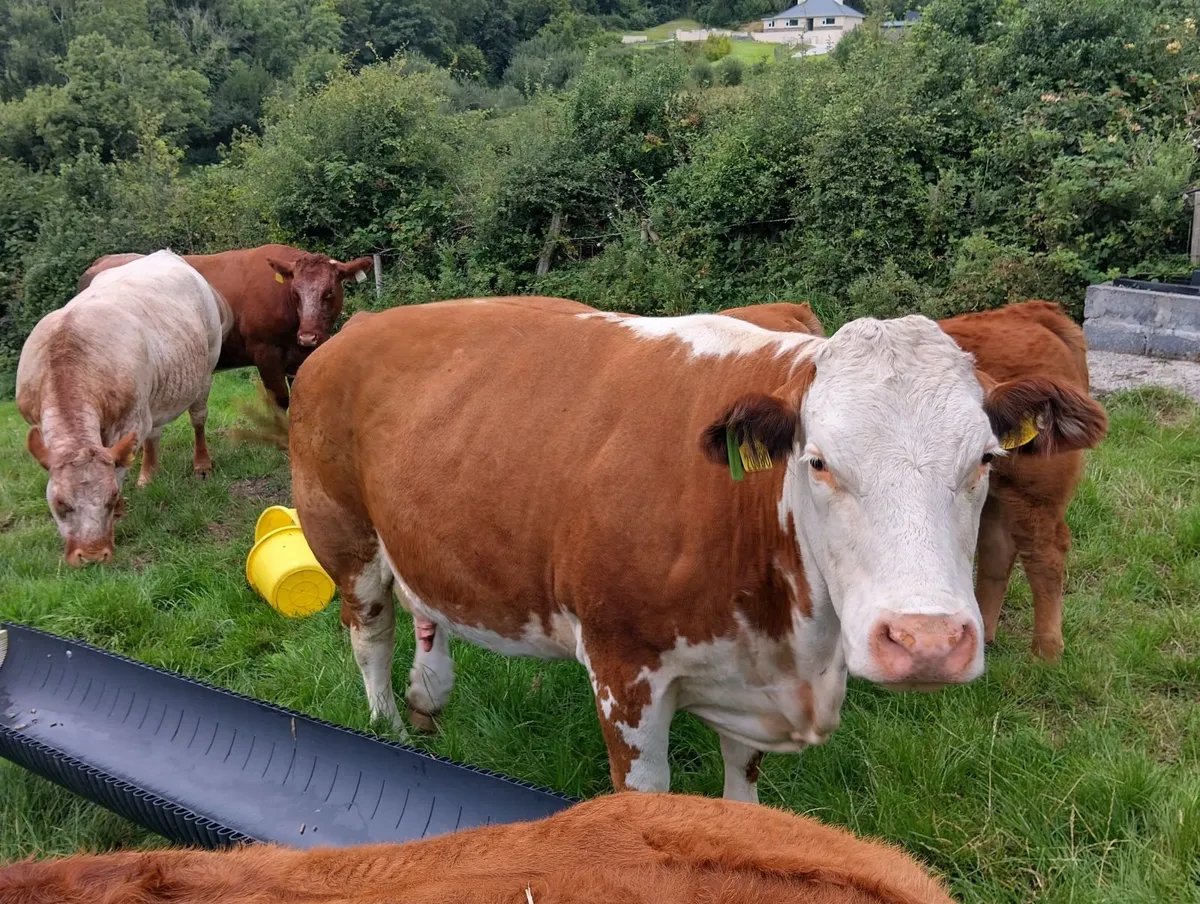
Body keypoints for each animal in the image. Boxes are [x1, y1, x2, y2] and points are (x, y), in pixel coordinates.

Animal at [16, 251, 231, 565]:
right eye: (59, 504)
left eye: (110, 497)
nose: (92, 556)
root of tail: (166, 253)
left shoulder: (130, 421)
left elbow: (118, 466)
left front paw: (119, 511)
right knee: (154, 432)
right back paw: (147, 476)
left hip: (205, 368)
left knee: (198, 418)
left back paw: (201, 464)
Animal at [77, 244, 373, 411]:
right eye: (295, 293)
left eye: (329, 292)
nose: (309, 336)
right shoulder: (265, 352)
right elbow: (280, 400)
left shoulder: (300, 355)